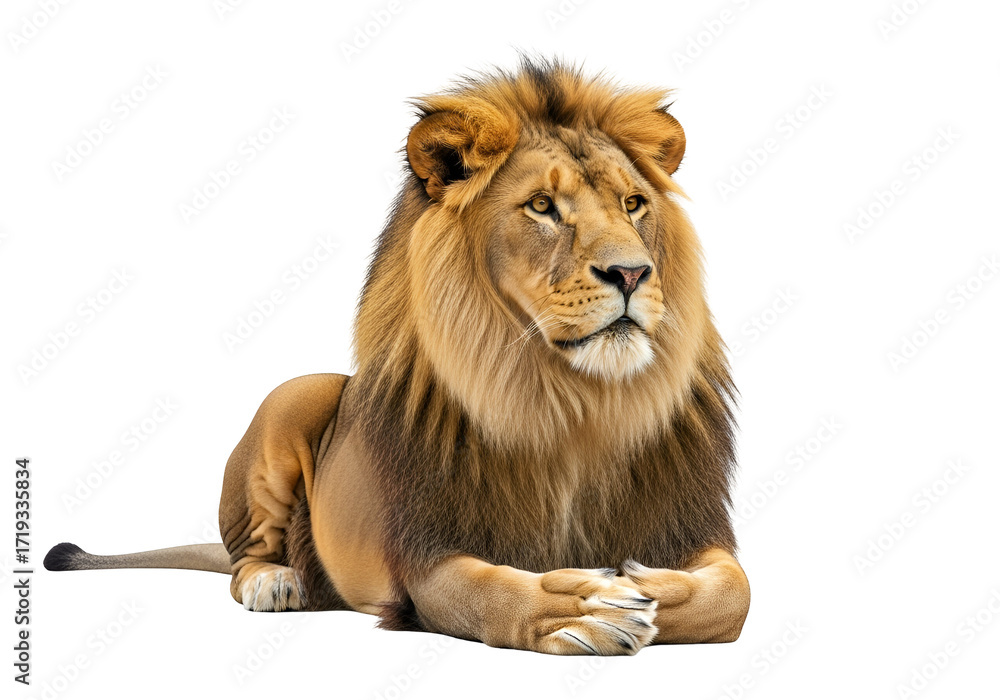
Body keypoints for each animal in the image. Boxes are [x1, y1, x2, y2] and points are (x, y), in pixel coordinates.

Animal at [45, 58, 750, 655]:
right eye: (542, 206)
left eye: (634, 204)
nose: (632, 273)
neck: (572, 399)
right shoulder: (427, 558)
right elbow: (495, 592)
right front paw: (583, 606)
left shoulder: (695, 529)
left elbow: (732, 594)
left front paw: (633, 579)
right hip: (294, 393)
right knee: (247, 550)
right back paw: (277, 581)